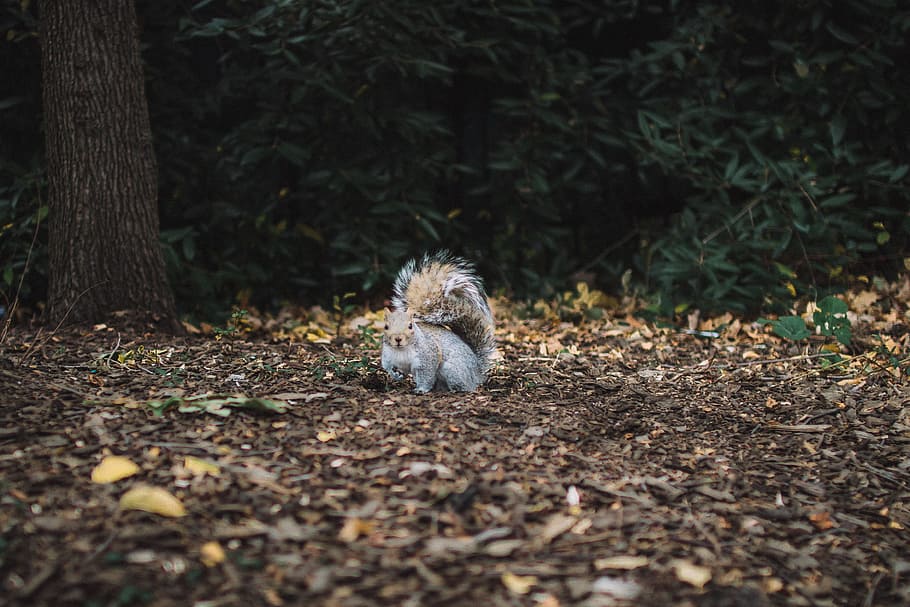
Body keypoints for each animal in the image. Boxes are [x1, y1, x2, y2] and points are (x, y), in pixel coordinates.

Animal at [381, 251, 495, 393]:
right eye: (386, 327)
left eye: (410, 326)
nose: (398, 339)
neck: (401, 350)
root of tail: (477, 372)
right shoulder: (388, 356)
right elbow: (387, 366)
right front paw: (395, 375)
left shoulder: (428, 355)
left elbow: (427, 374)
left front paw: (421, 389)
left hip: (453, 370)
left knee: (465, 386)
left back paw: (455, 390)